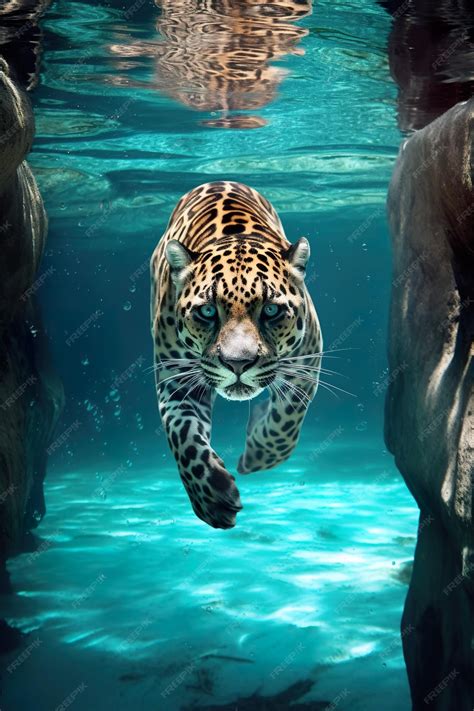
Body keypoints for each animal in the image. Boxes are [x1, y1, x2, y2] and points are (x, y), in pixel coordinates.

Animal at [150, 181, 322, 529]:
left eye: (271, 310)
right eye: (206, 312)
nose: (237, 363)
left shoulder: (306, 367)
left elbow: (285, 424)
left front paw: (256, 456)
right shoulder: (176, 382)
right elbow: (183, 435)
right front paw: (211, 495)